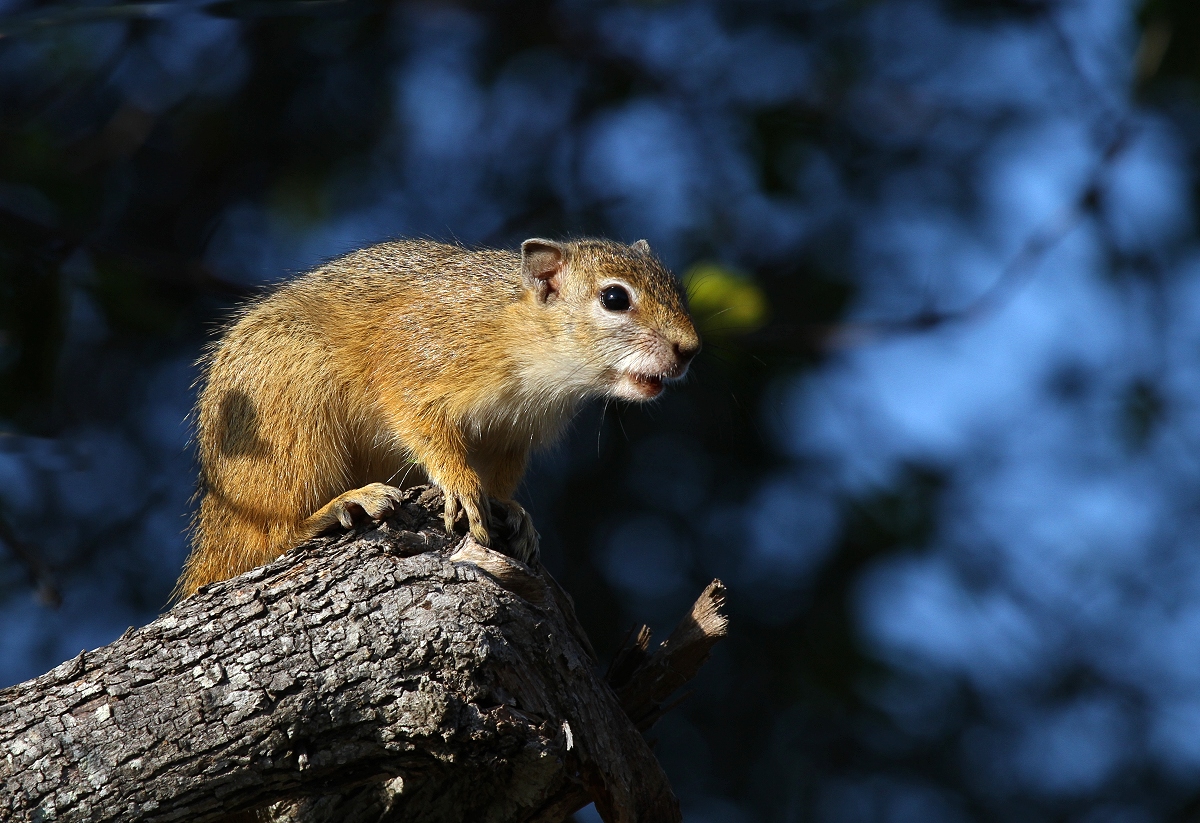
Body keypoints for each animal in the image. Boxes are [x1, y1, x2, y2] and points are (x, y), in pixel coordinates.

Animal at [177, 238, 700, 599]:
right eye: (614, 298)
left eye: (675, 287)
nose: (690, 350)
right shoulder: (418, 357)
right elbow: (422, 423)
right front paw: (462, 486)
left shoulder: (511, 437)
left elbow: (500, 480)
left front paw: (513, 513)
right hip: (290, 417)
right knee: (267, 540)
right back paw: (340, 507)